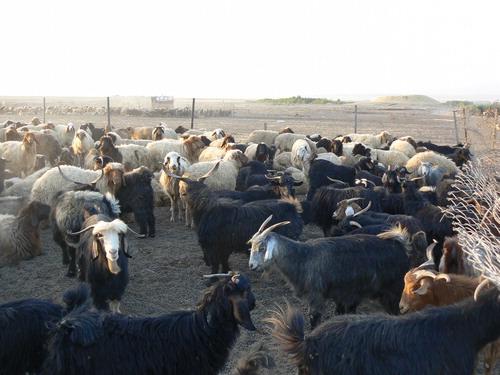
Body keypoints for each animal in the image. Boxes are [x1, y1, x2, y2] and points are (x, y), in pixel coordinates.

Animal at [249, 219, 410, 328]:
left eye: (262, 248)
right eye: (252, 246)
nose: (252, 266)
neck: (302, 257)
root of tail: (399, 245)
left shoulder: (316, 295)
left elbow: (314, 318)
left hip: (393, 289)